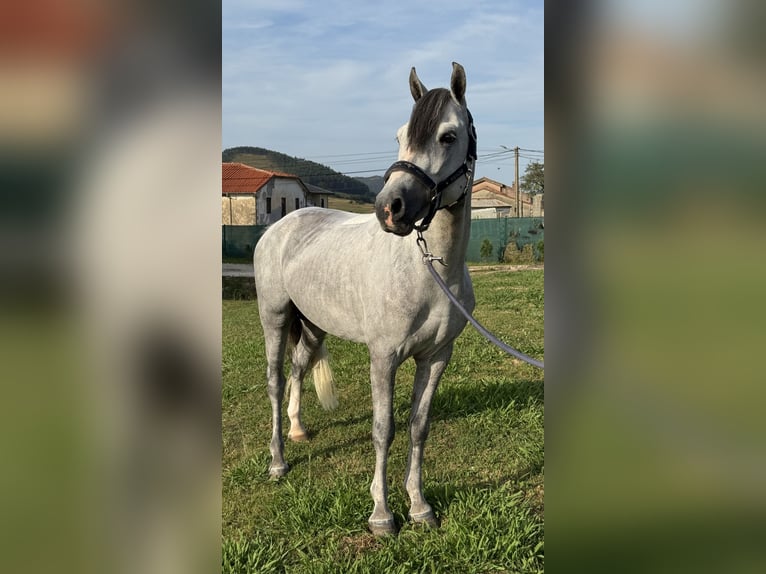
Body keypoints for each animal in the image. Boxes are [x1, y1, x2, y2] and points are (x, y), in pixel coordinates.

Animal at [254, 62, 477, 535]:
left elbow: (418, 427)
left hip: (314, 325)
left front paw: (419, 507)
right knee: (276, 380)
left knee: (299, 369)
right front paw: (381, 514)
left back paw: (299, 430)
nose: (389, 208)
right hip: (275, 319)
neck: (429, 271)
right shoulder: (383, 356)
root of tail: (280, 226)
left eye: (448, 136)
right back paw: (278, 462)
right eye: (400, 135)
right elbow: (382, 429)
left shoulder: (437, 357)